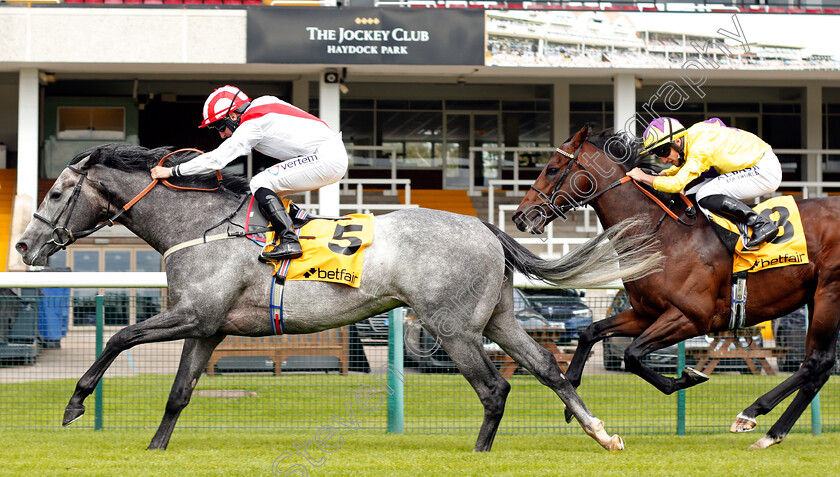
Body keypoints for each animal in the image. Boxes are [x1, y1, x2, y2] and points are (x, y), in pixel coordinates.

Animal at [13, 144, 664, 450]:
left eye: (58, 193)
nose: (23, 244)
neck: (198, 224)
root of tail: (485, 227)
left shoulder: (193, 314)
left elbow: (121, 337)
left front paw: (75, 403)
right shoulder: (208, 327)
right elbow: (178, 394)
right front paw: (154, 447)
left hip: (452, 327)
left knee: (495, 388)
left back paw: (480, 451)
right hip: (499, 318)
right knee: (549, 370)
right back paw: (601, 434)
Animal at [516, 124, 840, 448]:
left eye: (552, 168)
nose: (520, 216)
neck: (662, 234)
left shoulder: (691, 317)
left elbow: (632, 355)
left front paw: (687, 378)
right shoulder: (646, 313)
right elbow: (591, 333)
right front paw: (570, 393)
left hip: (829, 292)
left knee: (815, 363)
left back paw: (751, 413)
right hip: (816, 296)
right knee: (820, 365)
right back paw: (771, 432)